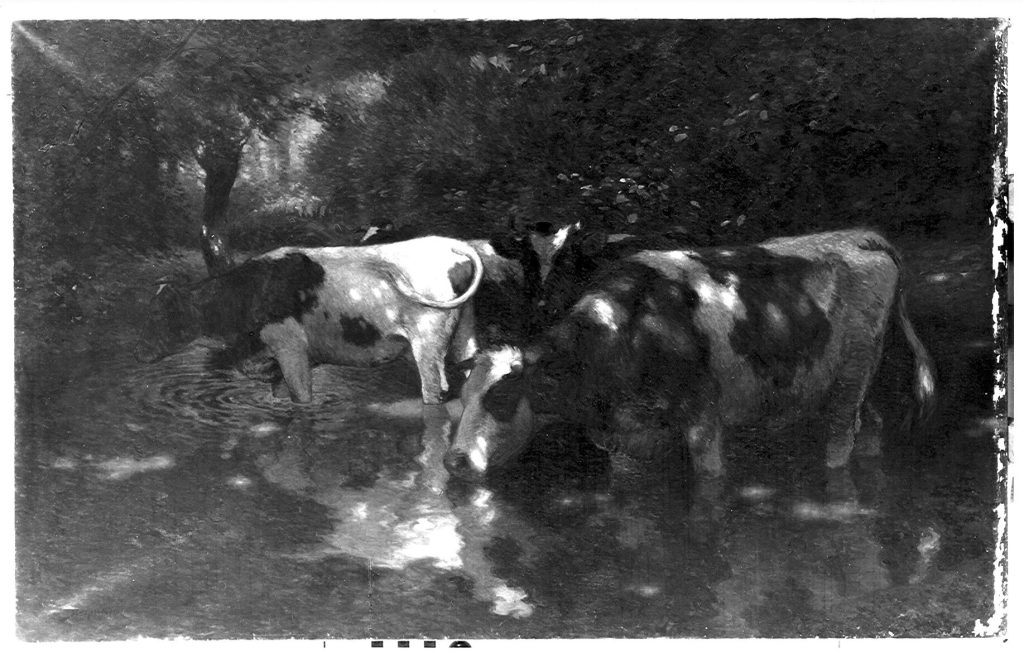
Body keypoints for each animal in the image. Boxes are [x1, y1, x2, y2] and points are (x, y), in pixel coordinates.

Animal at [136, 237, 483, 407]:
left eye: (158, 315)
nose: (138, 351)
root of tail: (452, 244)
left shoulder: (291, 351)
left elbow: (303, 401)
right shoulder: (276, 359)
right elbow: (280, 397)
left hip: (428, 342)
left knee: (434, 391)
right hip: (463, 335)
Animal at [444, 230, 937, 487]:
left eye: (502, 398)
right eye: (461, 401)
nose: (455, 462)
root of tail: (860, 237)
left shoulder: (703, 423)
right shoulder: (625, 439)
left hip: (850, 379)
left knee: (840, 440)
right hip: (860, 380)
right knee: (870, 428)